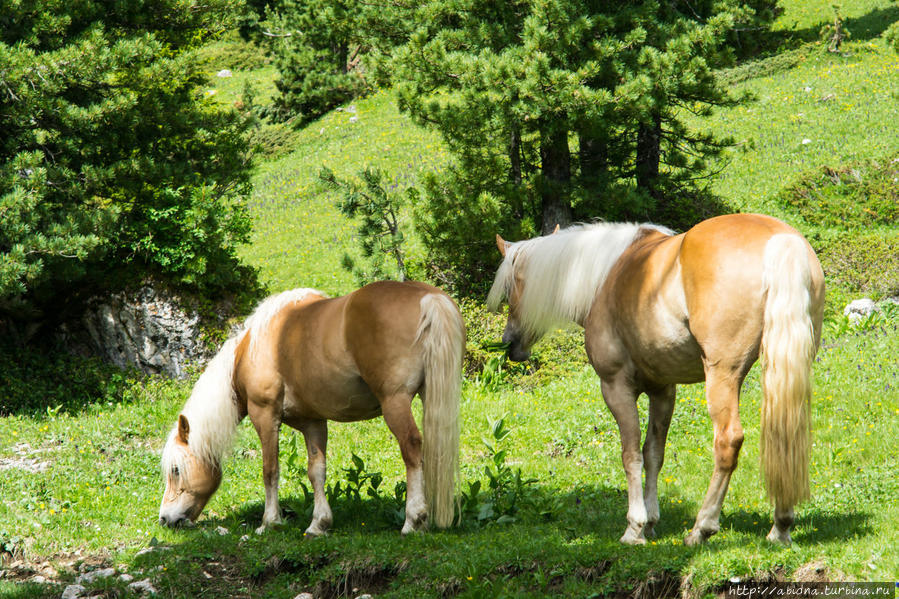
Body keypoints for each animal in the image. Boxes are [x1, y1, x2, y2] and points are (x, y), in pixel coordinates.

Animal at [158, 282, 464, 536]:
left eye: (175, 469)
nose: (164, 519)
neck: (256, 346)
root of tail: (428, 297)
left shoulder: (265, 416)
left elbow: (270, 469)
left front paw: (269, 522)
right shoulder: (313, 422)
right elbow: (316, 471)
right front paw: (319, 524)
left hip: (395, 403)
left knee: (411, 449)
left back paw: (413, 520)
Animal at [488, 213, 828, 548]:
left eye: (511, 288)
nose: (509, 343)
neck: (604, 277)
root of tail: (782, 241)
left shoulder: (616, 387)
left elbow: (631, 455)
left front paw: (634, 528)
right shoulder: (663, 390)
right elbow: (654, 454)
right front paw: (651, 522)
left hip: (723, 375)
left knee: (728, 441)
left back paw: (702, 528)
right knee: (785, 434)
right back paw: (780, 527)